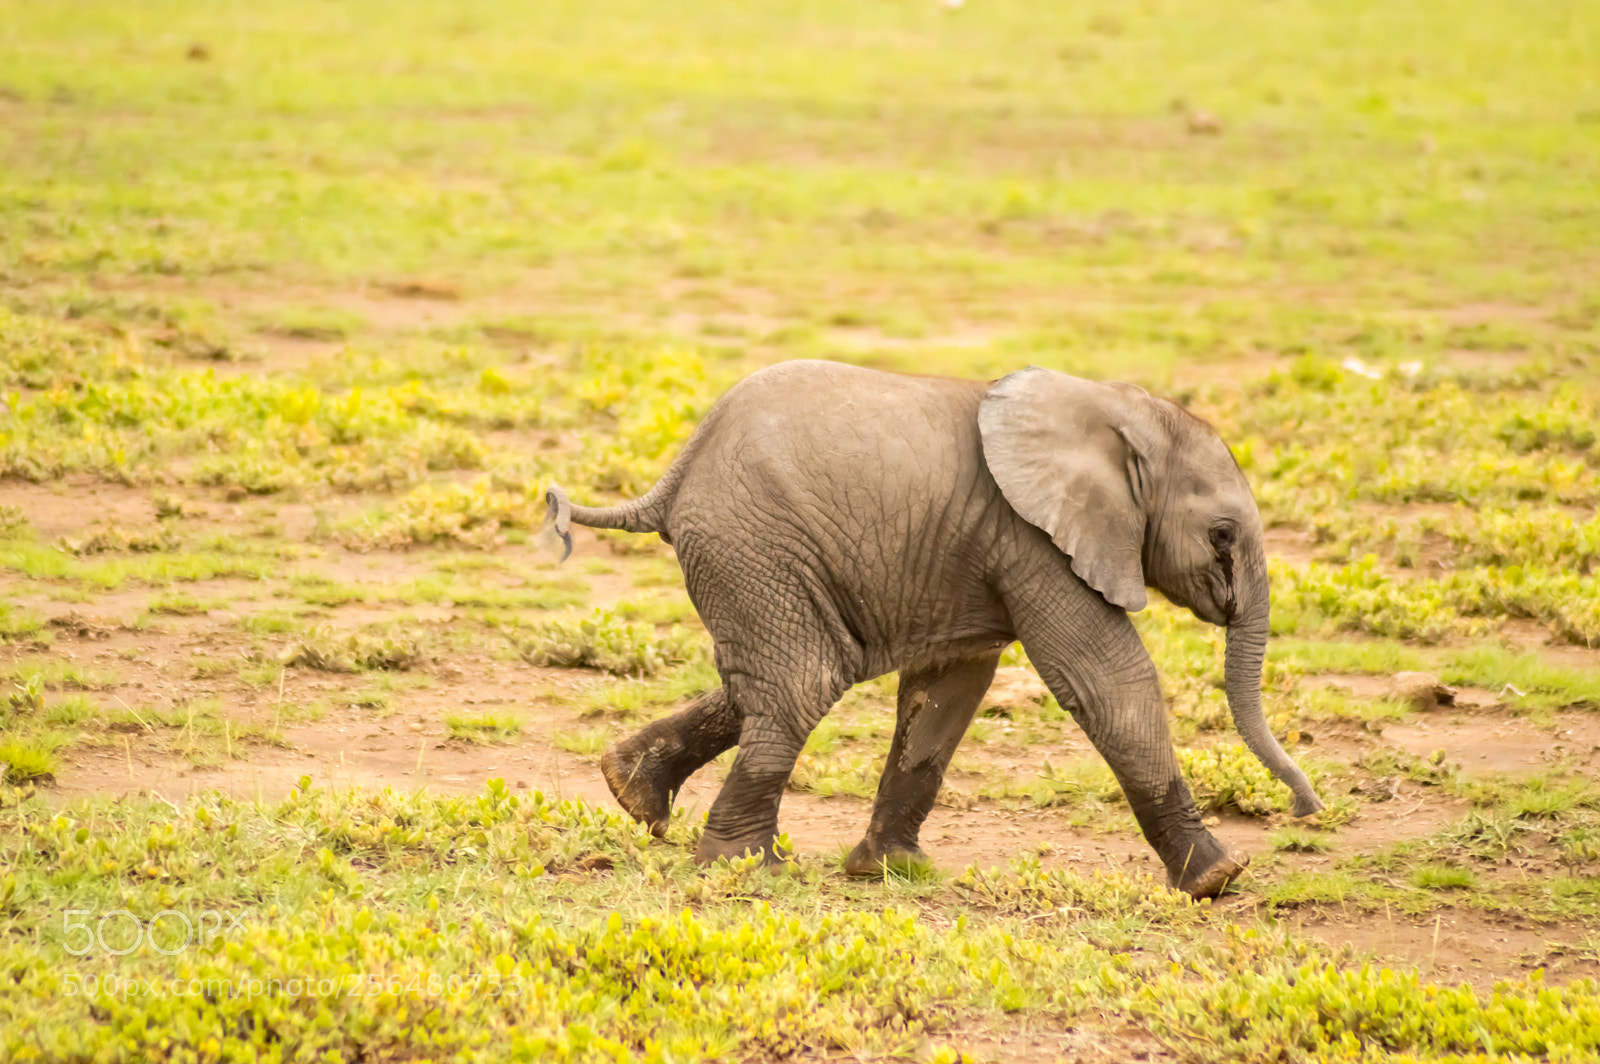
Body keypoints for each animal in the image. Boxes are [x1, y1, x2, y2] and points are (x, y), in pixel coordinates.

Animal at [543, 359, 1323, 897]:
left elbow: (949, 693)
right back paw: (745, 867)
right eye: (1222, 536)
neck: (1117, 410)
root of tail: (674, 476)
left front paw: (890, 870)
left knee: (779, 680)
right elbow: (1107, 681)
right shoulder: (1036, 540)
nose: (1308, 809)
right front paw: (1218, 879)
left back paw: (632, 794)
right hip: (756, 545)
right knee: (801, 681)